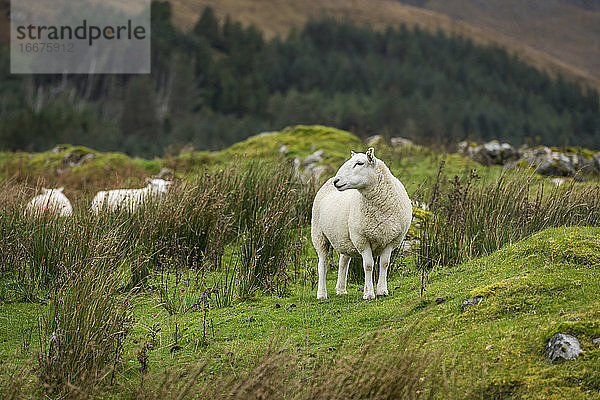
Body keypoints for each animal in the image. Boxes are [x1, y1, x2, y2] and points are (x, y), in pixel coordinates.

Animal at [310, 148, 412, 298]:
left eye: (359, 163)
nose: (336, 181)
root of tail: (327, 181)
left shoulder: (391, 240)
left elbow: (384, 264)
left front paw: (382, 290)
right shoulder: (362, 240)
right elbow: (368, 265)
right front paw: (369, 293)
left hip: (344, 238)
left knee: (343, 262)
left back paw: (341, 289)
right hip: (319, 235)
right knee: (322, 264)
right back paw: (322, 293)